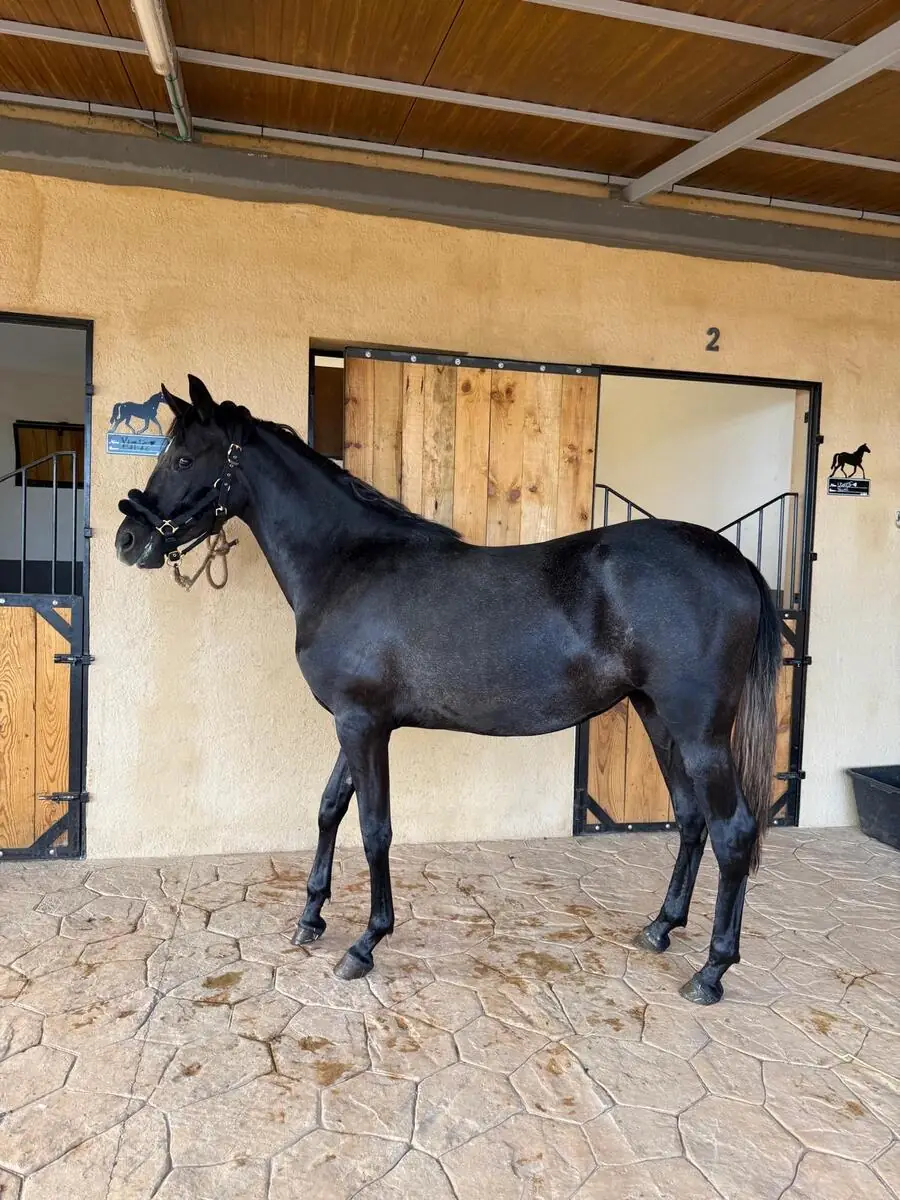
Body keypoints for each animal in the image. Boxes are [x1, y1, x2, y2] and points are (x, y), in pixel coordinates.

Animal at [115, 375, 781, 1006]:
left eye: (182, 459)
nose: (127, 539)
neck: (348, 564)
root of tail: (736, 562)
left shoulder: (362, 725)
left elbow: (374, 828)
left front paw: (365, 943)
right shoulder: (355, 722)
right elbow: (331, 808)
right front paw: (310, 917)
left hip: (700, 733)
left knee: (733, 831)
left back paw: (711, 971)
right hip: (657, 718)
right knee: (692, 819)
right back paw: (662, 927)